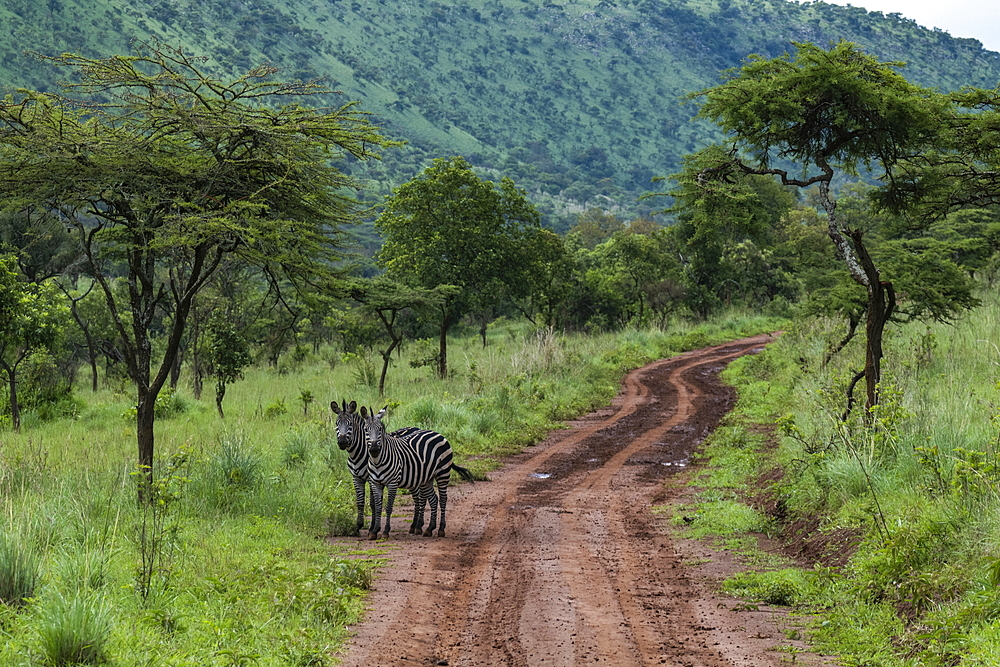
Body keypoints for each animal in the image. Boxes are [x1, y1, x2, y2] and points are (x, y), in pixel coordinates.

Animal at [328, 402, 422, 536]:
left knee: (419, 496)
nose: (341, 442)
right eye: (337, 423)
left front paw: (373, 528)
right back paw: (415, 525)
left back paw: (417, 526)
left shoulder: (371, 478)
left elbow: (373, 504)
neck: (357, 454)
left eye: (350, 424)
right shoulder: (356, 478)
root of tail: (416, 428)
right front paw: (358, 526)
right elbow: (360, 502)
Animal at [364, 404, 476, 540]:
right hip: (427, 477)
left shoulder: (392, 483)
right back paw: (429, 529)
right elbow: (378, 507)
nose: (374, 449)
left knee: (443, 499)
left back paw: (441, 529)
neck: (377, 461)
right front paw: (374, 531)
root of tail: (438, 433)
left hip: (443, 473)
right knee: (434, 499)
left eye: (380, 429)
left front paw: (385, 531)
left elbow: (389, 507)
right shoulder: (375, 483)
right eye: (366, 430)